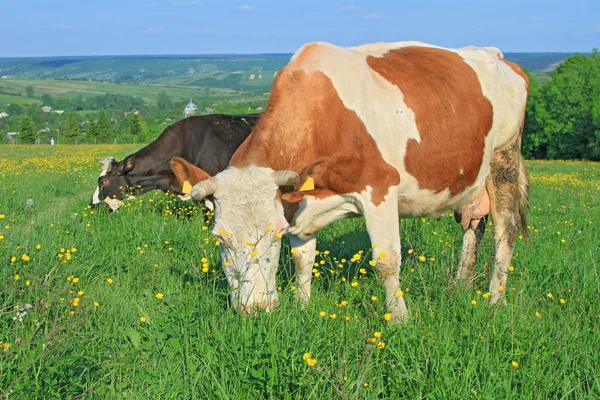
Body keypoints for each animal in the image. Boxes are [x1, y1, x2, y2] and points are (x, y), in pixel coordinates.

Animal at [170, 41, 528, 322]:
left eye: (276, 235)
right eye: (219, 238)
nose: (255, 309)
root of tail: (500, 57)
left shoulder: (380, 187)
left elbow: (387, 261)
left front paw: (400, 318)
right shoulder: (299, 205)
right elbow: (303, 261)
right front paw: (302, 308)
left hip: (504, 157)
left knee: (505, 231)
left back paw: (495, 299)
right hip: (471, 180)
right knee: (473, 226)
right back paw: (460, 287)